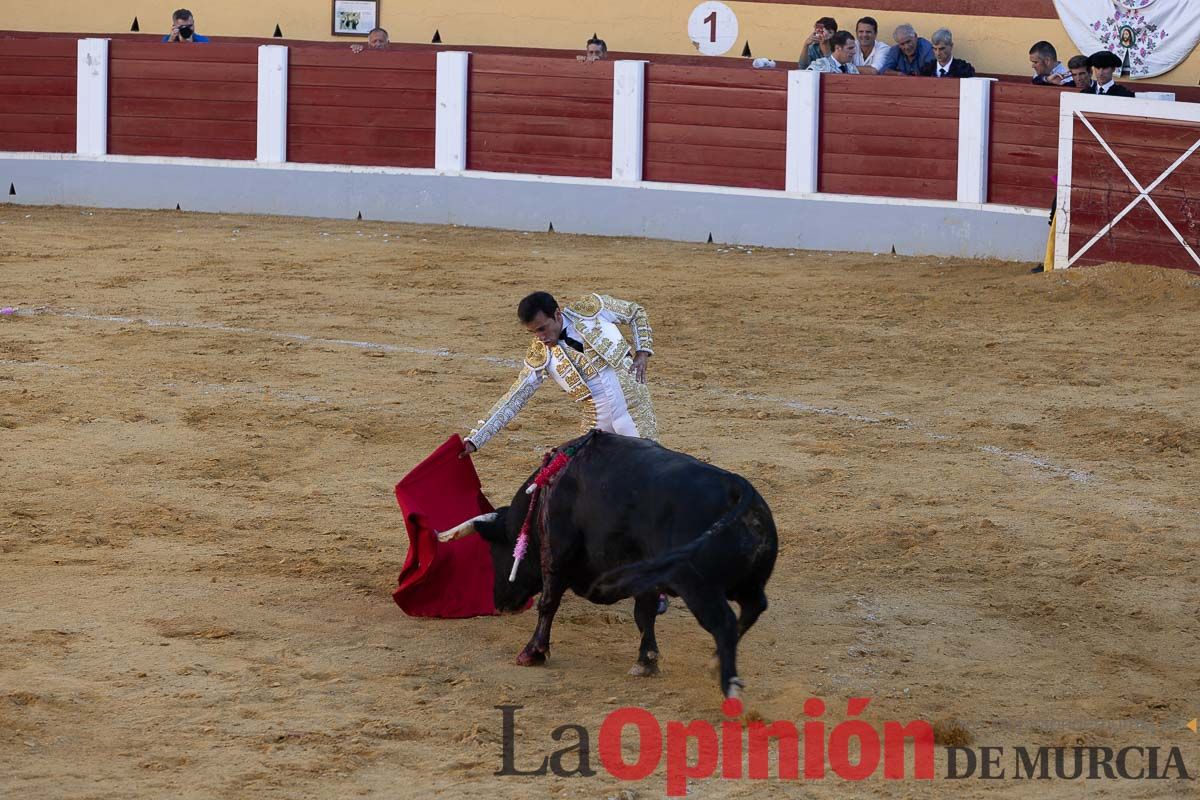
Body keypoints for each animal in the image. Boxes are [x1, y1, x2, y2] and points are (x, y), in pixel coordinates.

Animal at [441, 431, 777, 700]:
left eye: (496, 551)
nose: (499, 603)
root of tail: (738, 490)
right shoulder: (644, 575)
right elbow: (644, 615)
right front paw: (646, 662)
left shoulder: (557, 554)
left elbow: (548, 603)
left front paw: (532, 652)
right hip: (745, 582)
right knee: (755, 606)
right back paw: (715, 661)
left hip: (698, 586)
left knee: (724, 622)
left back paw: (727, 683)